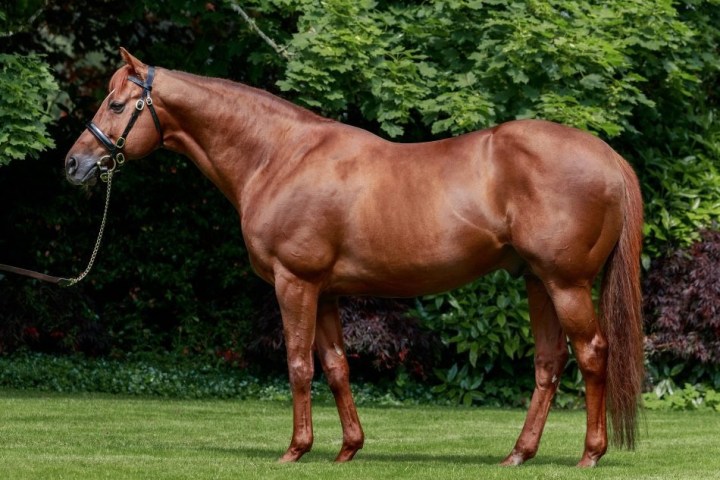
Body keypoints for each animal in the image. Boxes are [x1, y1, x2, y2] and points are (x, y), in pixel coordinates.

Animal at [65, 48, 644, 467]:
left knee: (592, 354)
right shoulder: (324, 291)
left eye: (116, 105)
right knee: (549, 362)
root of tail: (607, 155)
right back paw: (519, 455)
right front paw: (348, 449)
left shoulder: (294, 282)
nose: (74, 163)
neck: (279, 155)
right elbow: (338, 366)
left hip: (565, 283)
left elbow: (299, 365)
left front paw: (295, 450)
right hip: (536, 282)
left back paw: (590, 455)